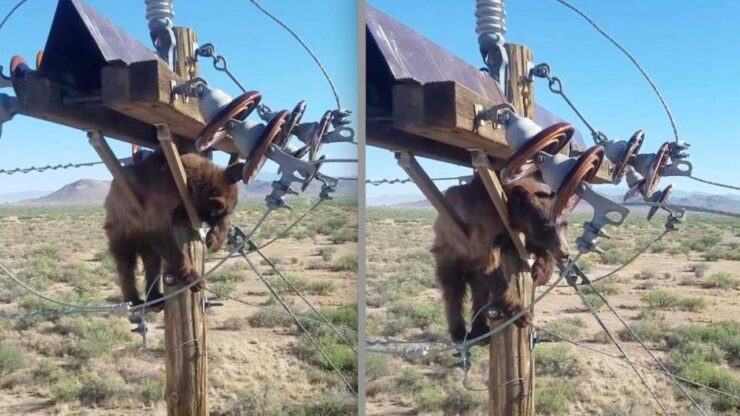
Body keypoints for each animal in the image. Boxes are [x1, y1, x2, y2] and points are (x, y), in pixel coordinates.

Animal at [103, 151, 243, 308]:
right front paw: (194, 279)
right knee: (125, 264)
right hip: (122, 228)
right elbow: (160, 231)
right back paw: (133, 300)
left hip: (146, 244)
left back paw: (155, 298)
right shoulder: (163, 192)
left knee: (152, 263)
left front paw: (215, 239)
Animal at [430, 174, 568, 342]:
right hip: (450, 251)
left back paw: (480, 330)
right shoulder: (485, 224)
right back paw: (459, 332)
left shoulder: (518, 235)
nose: (565, 253)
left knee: (479, 291)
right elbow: (490, 266)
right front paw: (521, 314)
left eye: (564, 223)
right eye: (544, 224)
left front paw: (541, 272)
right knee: (453, 290)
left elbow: (535, 247)